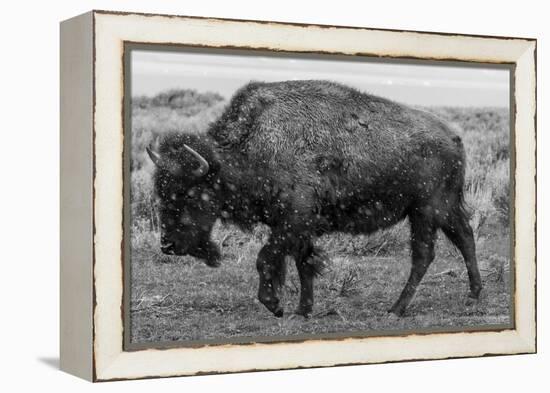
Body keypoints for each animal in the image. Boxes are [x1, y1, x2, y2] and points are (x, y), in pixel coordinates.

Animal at [146, 78, 484, 316]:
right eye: (160, 192)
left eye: (190, 194)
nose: (168, 245)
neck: (251, 145)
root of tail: (455, 137)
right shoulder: (299, 228)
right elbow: (303, 263)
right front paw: (302, 310)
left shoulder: (293, 221)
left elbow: (266, 258)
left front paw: (275, 305)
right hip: (442, 209)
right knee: (465, 238)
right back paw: (473, 295)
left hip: (426, 210)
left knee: (424, 255)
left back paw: (396, 309)